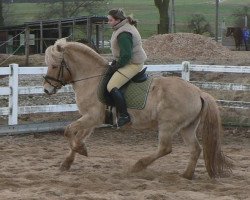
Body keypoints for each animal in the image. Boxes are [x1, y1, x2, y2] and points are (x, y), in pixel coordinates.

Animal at [42, 39, 231, 180]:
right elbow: (78, 137)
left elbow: (68, 131)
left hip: (167, 125)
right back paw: (186, 175)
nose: (46, 90)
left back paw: (137, 166)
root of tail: (198, 92)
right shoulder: (92, 120)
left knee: (165, 148)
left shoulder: (92, 117)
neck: (91, 79)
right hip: (187, 127)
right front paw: (68, 161)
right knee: (195, 149)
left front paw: (81, 150)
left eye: (54, 65)